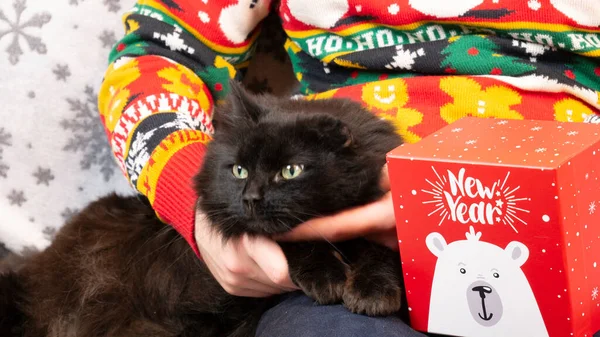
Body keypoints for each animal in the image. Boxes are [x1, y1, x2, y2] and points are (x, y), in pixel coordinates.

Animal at [1, 82, 404, 336]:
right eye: (239, 170)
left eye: (290, 171)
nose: (251, 198)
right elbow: (297, 240)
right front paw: (328, 279)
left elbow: (382, 254)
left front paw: (372, 295)